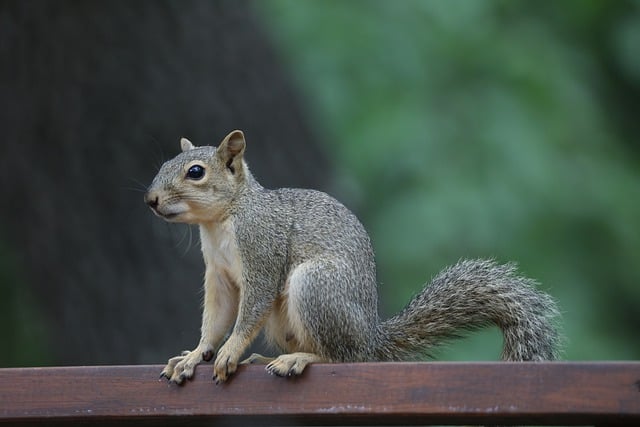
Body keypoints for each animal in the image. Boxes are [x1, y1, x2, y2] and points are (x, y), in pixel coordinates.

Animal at [144, 130, 560, 384]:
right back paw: (270, 359)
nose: (151, 199)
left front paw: (229, 352)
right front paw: (194, 356)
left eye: (195, 172)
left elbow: (250, 310)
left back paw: (300, 360)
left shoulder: (262, 251)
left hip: (315, 285)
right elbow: (217, 318)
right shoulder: (218, 274)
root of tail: (370, 340)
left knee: (342, 357)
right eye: (161, 166)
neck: (222, 221)